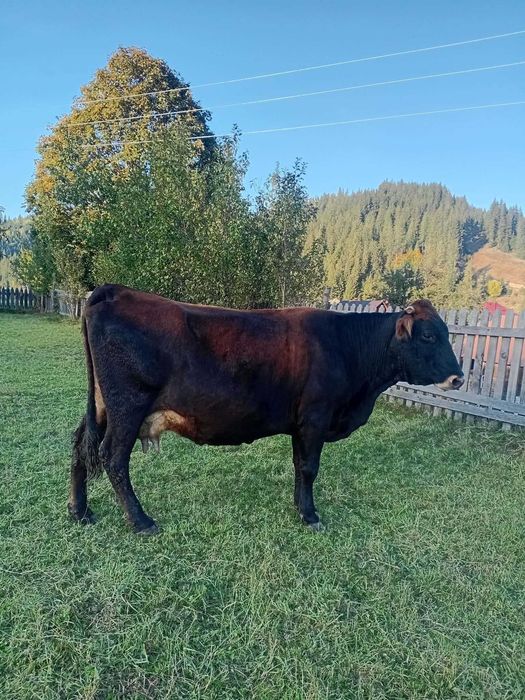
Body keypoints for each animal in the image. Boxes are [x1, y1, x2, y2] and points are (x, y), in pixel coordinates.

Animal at [69, 284, 463, 535]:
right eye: (429, 335)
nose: (458, 377)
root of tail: (115, 290)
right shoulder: (316, 416)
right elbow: (309, 467)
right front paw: (310, 515)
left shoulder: (300, 423)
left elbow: (299, 466)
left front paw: (299, 507)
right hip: (128, 406)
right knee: (112, 457)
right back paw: (141, 522)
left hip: (103, 407)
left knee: (80, 447)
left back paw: (80, 511)